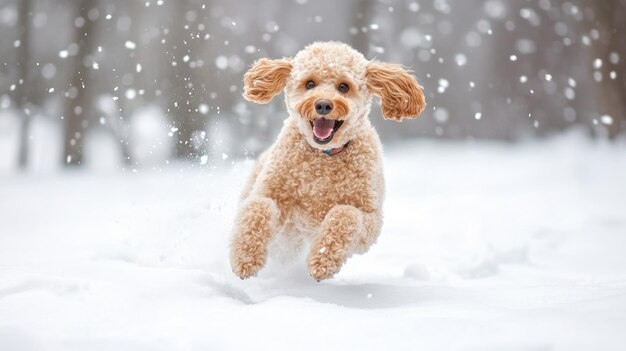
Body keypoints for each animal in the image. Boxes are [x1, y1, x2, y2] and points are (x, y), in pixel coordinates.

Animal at [229, 42, 424, 284]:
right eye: (310, 84)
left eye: (344, 87)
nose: (322, 105)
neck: (323, 157)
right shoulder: (269, 192)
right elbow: (258, 208)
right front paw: (245, 259)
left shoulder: (371, 218)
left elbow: (345, 215)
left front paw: (322, 262)